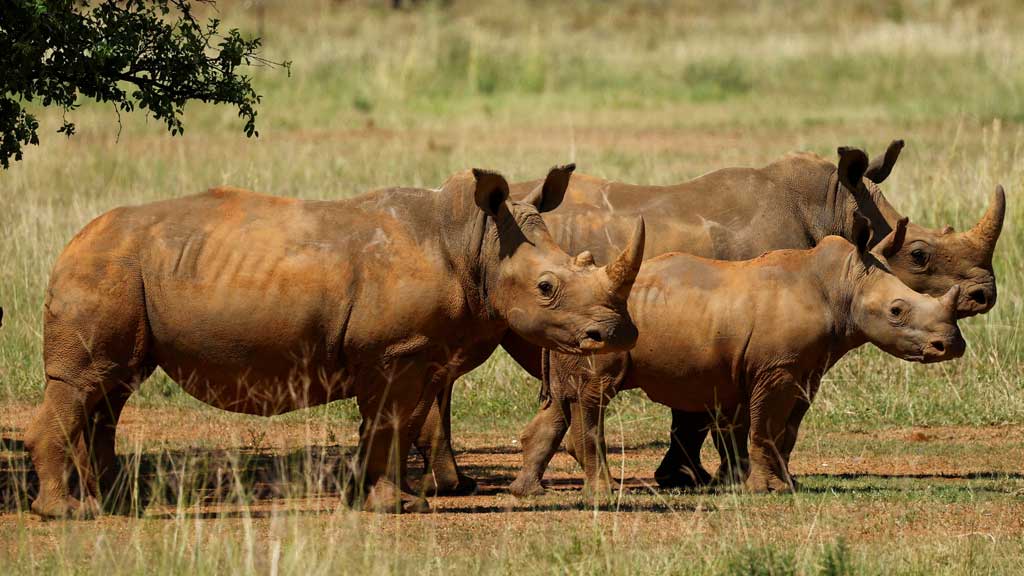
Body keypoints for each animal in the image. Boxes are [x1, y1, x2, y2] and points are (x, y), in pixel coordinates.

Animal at [25, 162, 647, 516]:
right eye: (547, 287)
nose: (614, 334)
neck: (475, 242)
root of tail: (72, 240)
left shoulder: (414, 353)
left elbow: (396, 427)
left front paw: (393, 501)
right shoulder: (393, 353)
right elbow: (388, 426)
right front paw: (387, 506)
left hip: (123, 272)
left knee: (112, 388)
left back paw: (112, 504)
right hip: (107, 268)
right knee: (85, 383)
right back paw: (69, 514)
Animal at [507, 217, 962, 496]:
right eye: (897, 311)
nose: (950, 346)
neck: (843, 287)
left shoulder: (802, 368)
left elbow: (785, 431)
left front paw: (786, 485)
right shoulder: (776, 369)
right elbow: (766, 427)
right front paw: (768, 491)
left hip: (571, 332)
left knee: (564, 401)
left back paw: (531, 491)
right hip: (596, 329)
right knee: (594, 396)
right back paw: (601, 493)